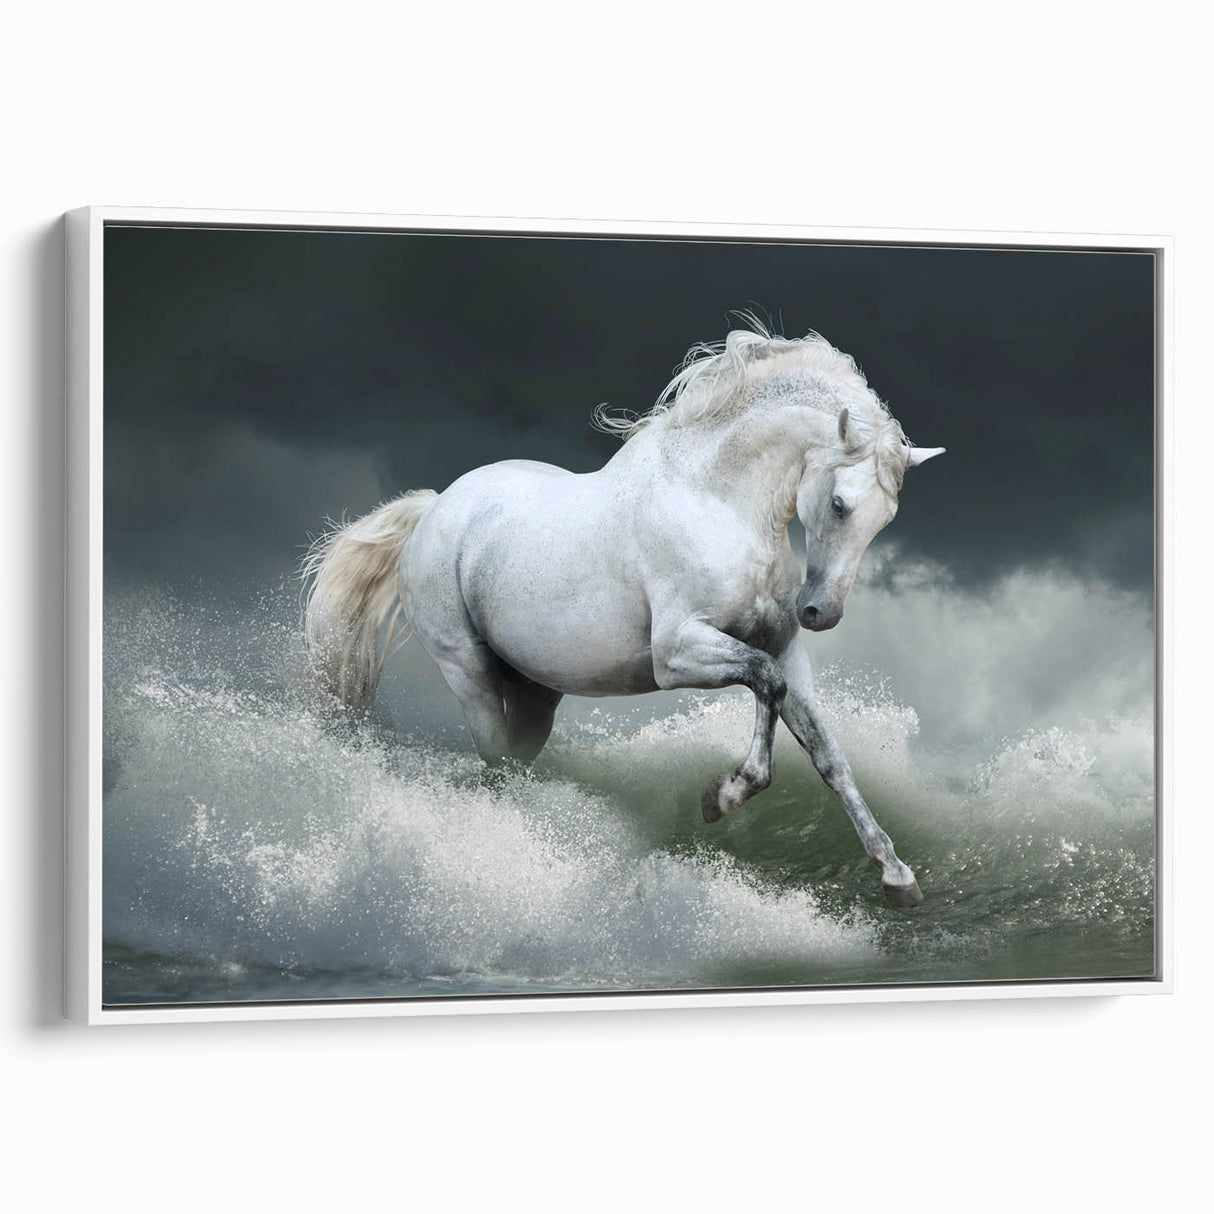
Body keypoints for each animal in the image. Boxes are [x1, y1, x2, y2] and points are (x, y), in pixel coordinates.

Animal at [303, 323, 944, 907]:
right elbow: (765, 683)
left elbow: (826, 752)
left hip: (535, 692)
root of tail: (435, 508)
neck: (715, 500)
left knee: (516, 760)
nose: (820, 612)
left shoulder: (786, 649)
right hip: (469, 673)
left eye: (886, 518)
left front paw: (896, 875)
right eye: (839, 504)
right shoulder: (677, 654)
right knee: (496, 762)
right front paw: (723, 796)